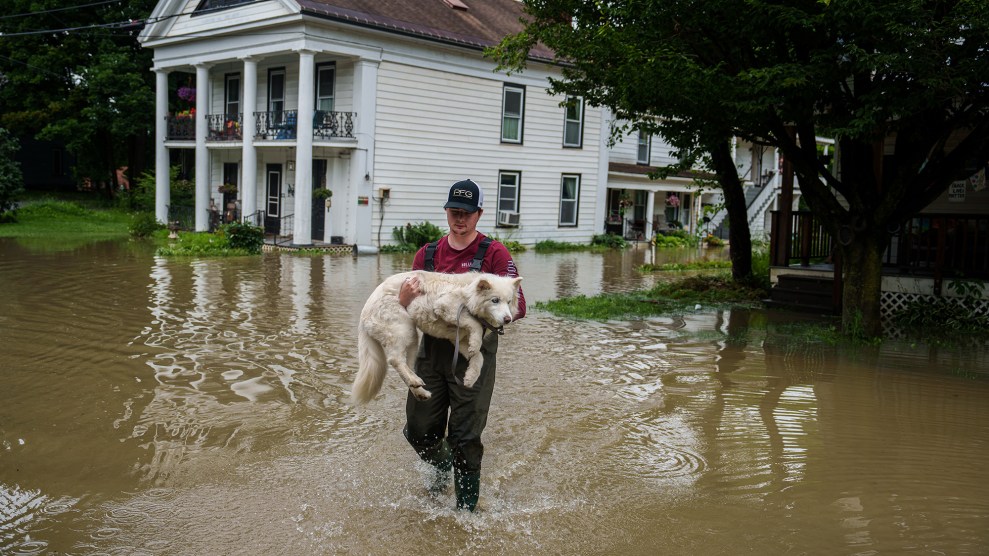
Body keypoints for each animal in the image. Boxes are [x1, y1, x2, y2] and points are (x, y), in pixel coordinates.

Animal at [356, 270, 524, 404]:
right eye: (495, 300)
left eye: (509, 302)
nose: (508, 319)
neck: (468, 293)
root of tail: (363, 313)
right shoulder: (445, 306)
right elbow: (474, 324)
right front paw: (475, 344)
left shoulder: (458, 339)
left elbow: (479, 357)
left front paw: (470, 377)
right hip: (403, 330)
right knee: (394, 360)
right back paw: (415, 381)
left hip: (412, 341)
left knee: (406, 367)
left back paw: (420, 391)